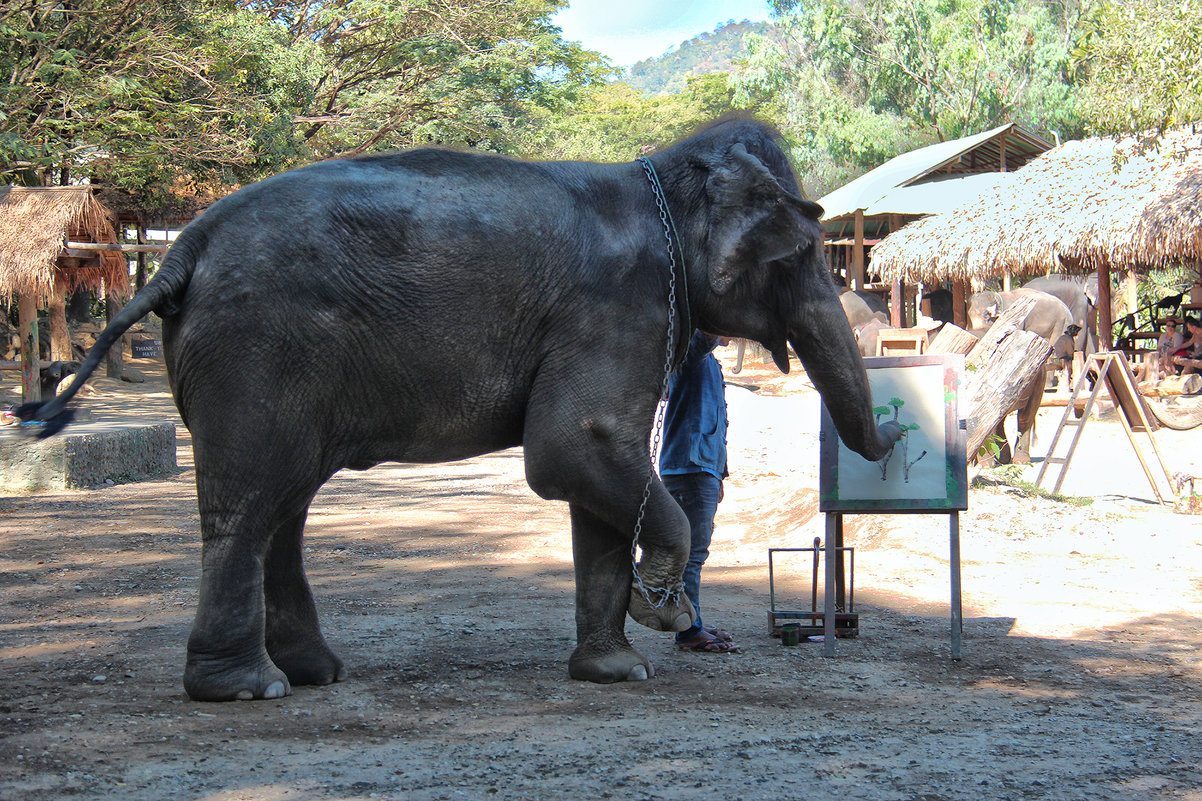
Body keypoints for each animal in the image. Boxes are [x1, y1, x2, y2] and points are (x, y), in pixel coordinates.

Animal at [18, 117, 903, 697]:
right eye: (801, 254)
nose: (895, 430)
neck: (660, 171)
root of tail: (181, 252)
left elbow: (596, 472)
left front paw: (615, 670)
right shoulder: (618, 306)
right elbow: (573, 448)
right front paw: (660, 610)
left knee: (282, 503)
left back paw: (314, 672)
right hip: (254, 349)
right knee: (251, 500)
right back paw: (248, 688)